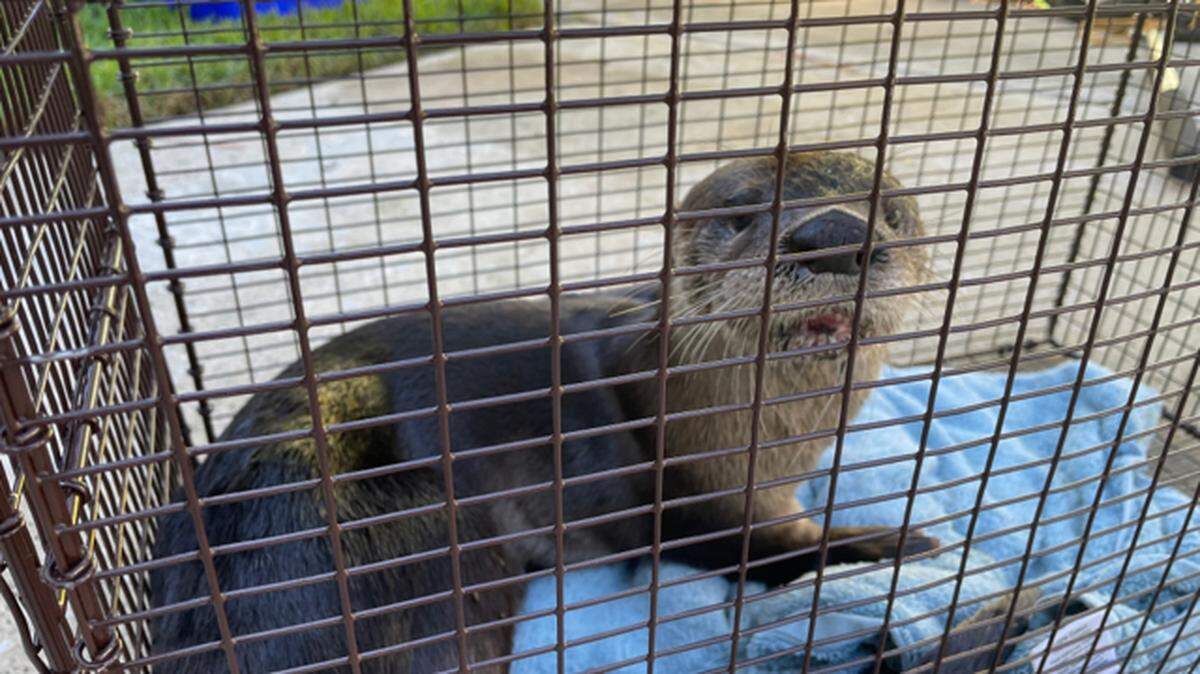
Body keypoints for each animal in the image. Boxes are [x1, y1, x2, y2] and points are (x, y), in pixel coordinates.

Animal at [150, 152, 937, 673]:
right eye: (740, 215)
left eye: (893, 212)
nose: (832, 235)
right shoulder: (689, 501)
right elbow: (762, 549)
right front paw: (892, 543)